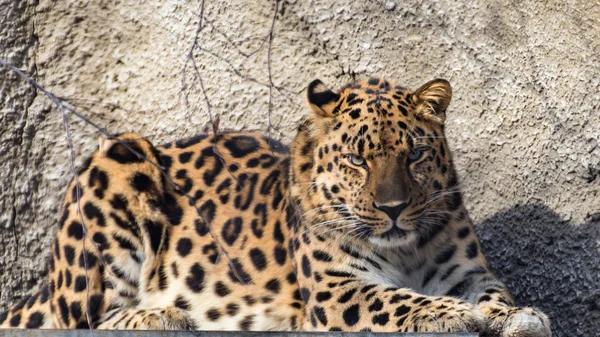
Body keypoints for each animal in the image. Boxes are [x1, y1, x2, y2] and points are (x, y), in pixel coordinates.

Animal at [1, 76, 552, 334]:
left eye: (414, 155)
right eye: (357, 159)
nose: (393, 208)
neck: (405, 249)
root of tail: (48, 278)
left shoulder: (468, 273)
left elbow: (495, 294)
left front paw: (520, 317)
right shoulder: (336, 289)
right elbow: (400, 300)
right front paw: (456, 314)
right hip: (118, 157)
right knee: (87, 318)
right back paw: (164, 315)